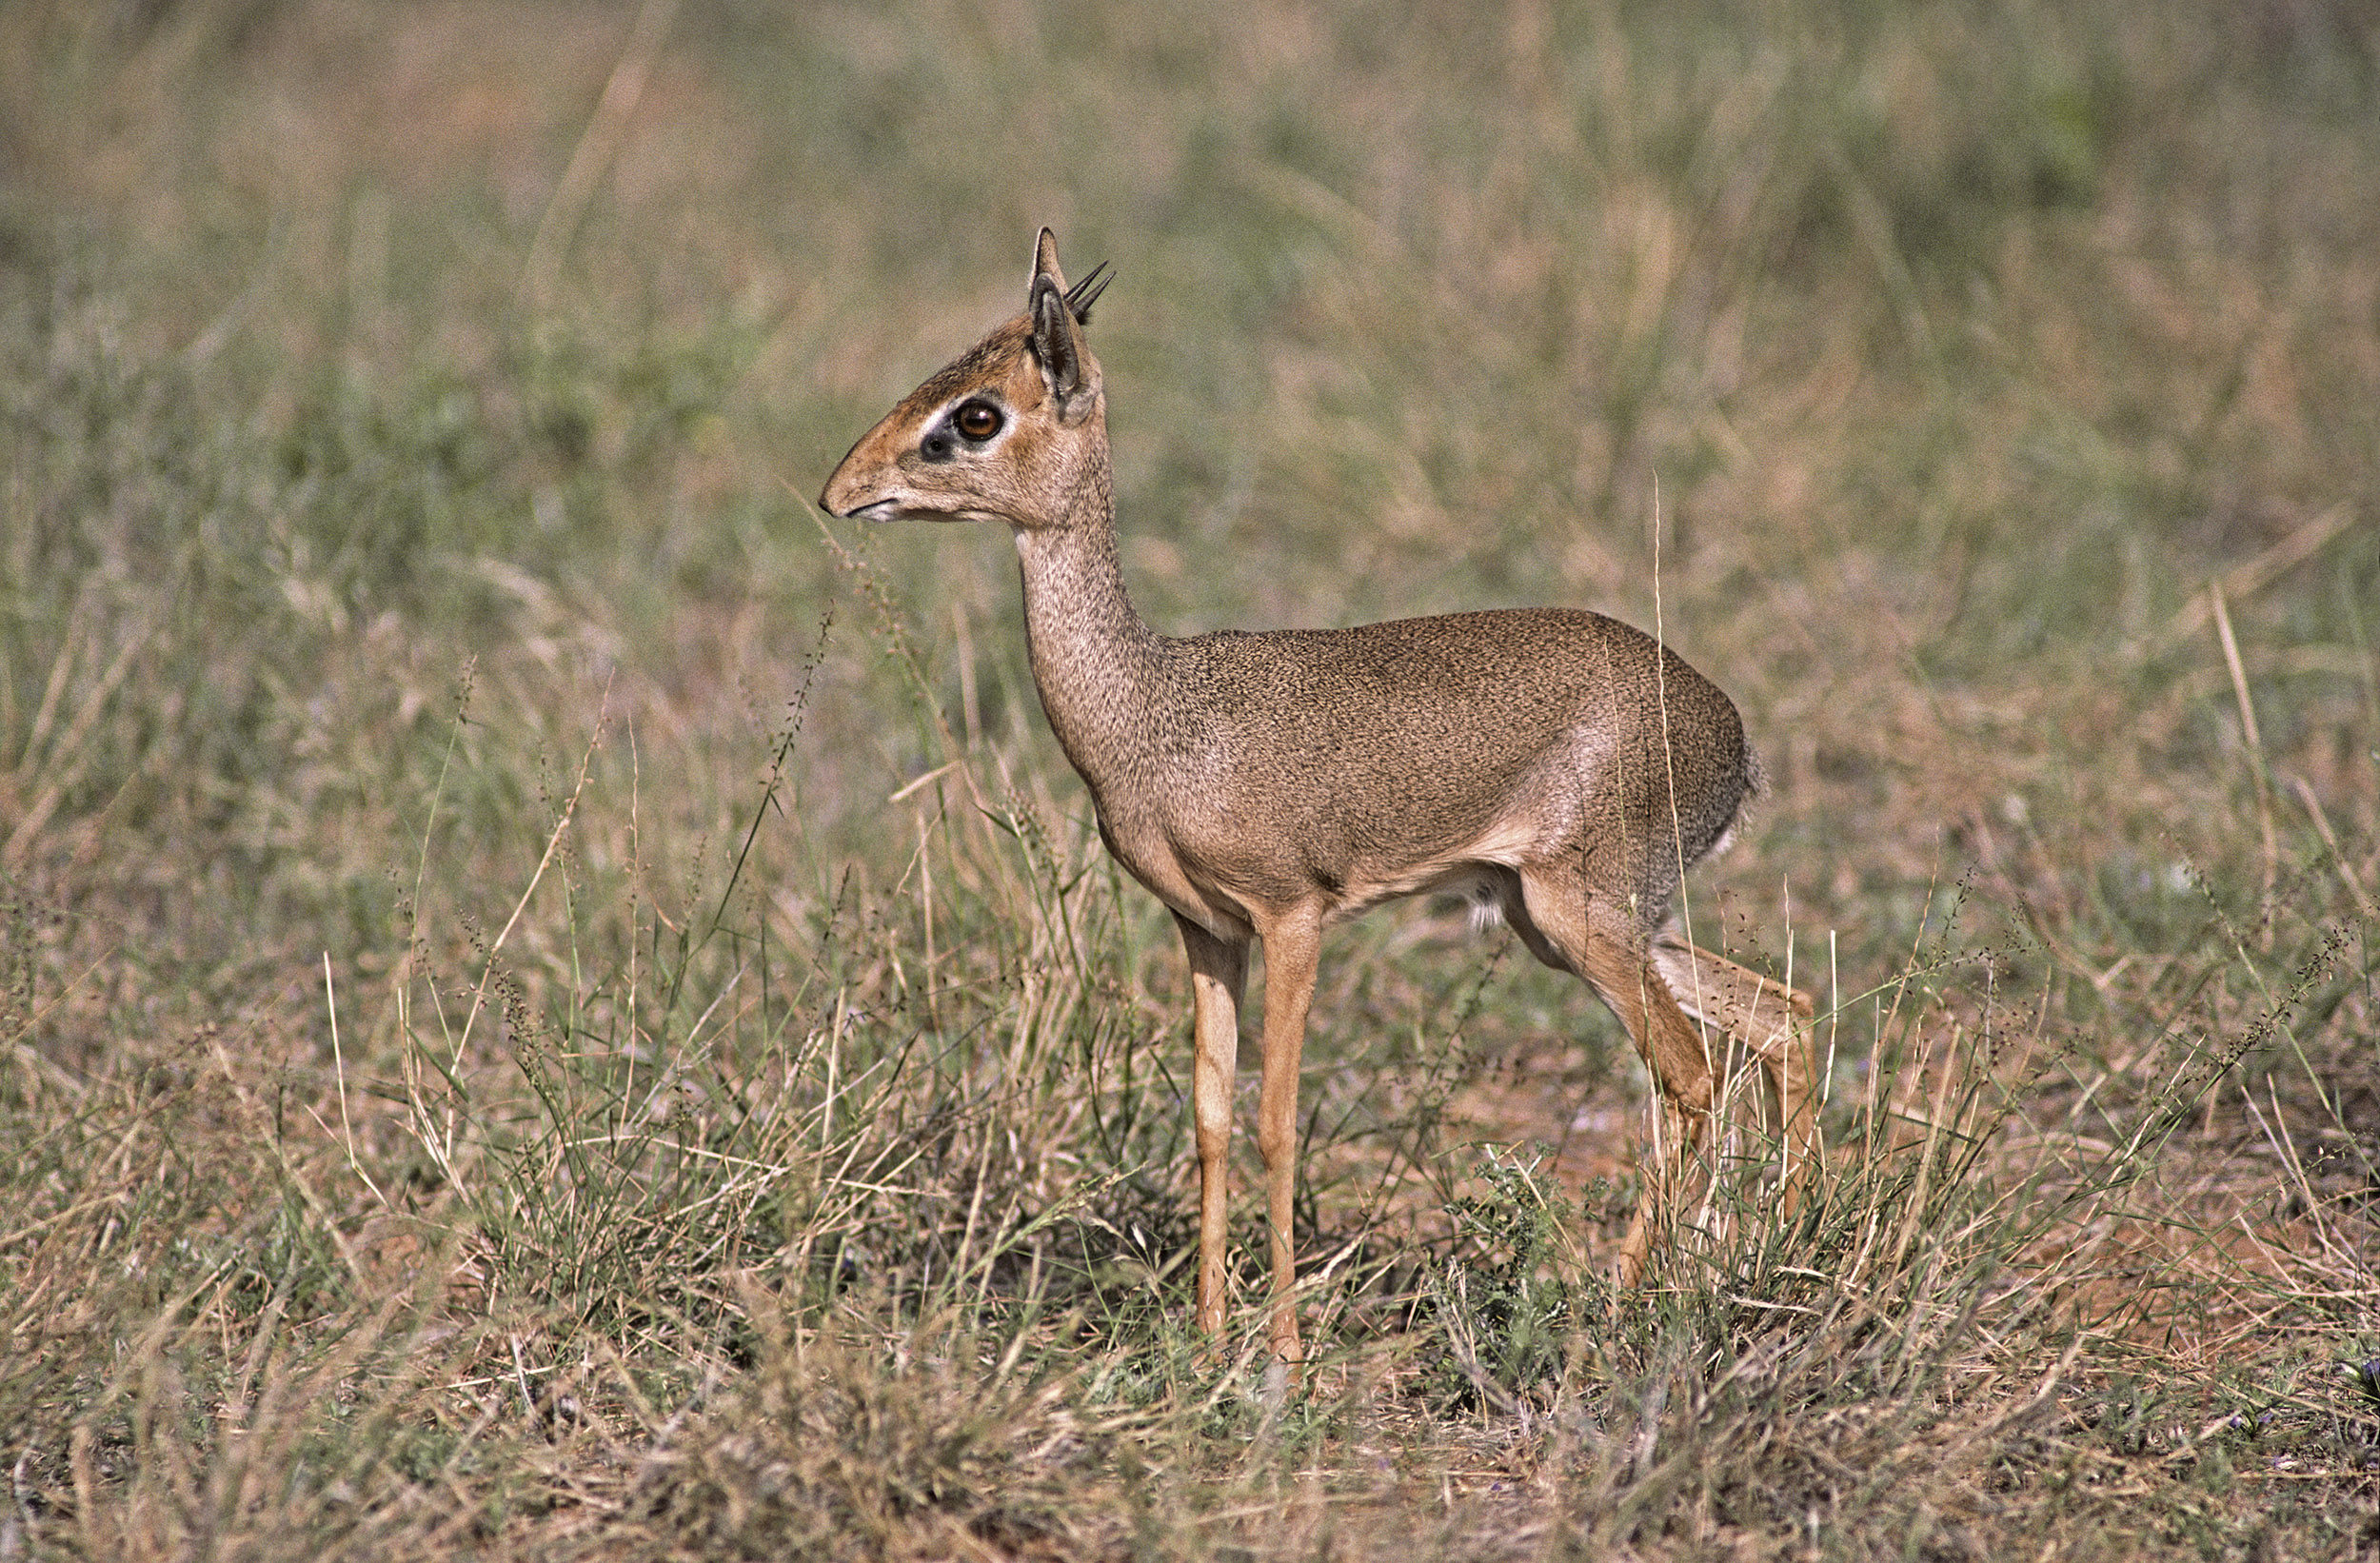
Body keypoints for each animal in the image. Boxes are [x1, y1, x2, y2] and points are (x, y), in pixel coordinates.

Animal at [823, 228, 1818, 1370]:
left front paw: (1287, 1349)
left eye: (976, 414)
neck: (1154, 714)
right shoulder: (1206, 931)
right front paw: (1210, 1334)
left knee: (1690, 1076)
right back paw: (1786, 1252)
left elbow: (1275, 1120)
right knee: (1783, 1016)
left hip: (1586, 917)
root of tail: (1732, 736)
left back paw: (1621, 1303)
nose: (840, 489)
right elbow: (1211, 1116)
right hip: (1565, 921)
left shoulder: (1292, 916)